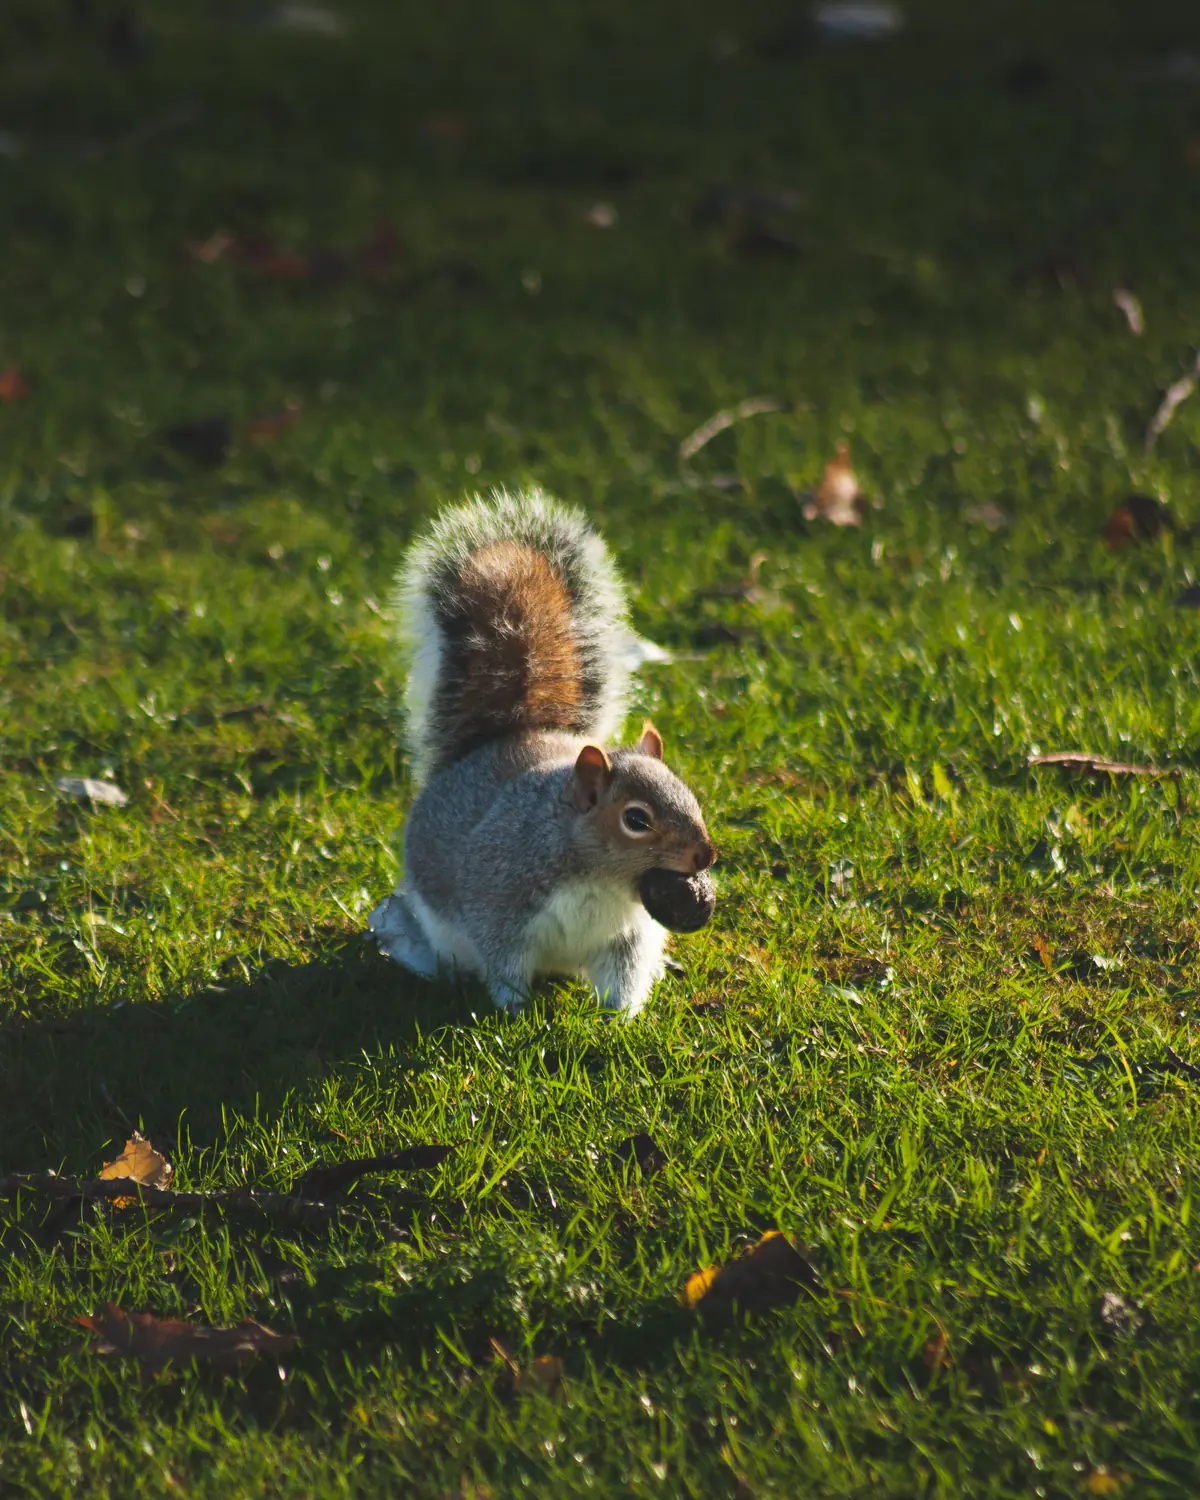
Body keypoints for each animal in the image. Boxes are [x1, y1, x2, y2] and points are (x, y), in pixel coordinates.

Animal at [368, 487, 716, 1017]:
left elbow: (623, 976)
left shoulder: (628, 937)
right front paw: (513, 1012)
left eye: (690, 795)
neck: (603, 881)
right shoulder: (499, 901)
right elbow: (504, 963)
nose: (706, 855)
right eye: (636, 819)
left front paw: (621, 1020)